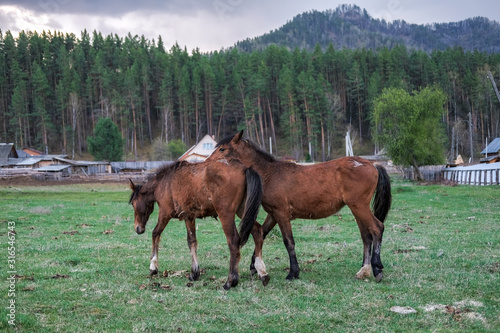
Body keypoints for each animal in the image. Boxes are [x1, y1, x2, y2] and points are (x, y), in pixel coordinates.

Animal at [129, 158, 270, 288]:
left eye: (133, 204)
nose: (138, 228)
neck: (165, 182)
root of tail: (243, 168)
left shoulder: (165, 213)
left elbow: (156, 233)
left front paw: (153, 266)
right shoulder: (189, 217)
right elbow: (192, 242)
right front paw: (194, 273)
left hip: (226, 214)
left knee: (234, 241)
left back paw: (231, 281)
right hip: (243, 212)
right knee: (258, 232)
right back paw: (262, 272)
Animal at [207, 131, 390, 282]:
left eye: (222, 149)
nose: (207, 163)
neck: (271, 173)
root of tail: (372, 165)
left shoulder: (281, 214)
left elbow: (289, 242)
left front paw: (293, 273)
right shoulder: (273, 214)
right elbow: (262, 233)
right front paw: (254, 267)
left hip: (359, 207)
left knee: (377, 228)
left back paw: (377, 268)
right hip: (356, 209)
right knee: (366, 237)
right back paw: (363, 270)